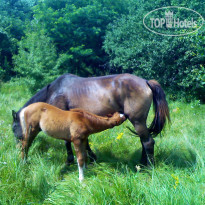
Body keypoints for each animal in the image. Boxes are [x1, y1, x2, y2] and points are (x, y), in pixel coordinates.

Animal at [12, 73, 170, 167]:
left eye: (14, 128)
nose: (18, 148)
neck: (55, 91)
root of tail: (146, 82)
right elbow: (85, 141)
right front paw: (92, 157)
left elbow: (67, 142)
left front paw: (69, 161)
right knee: (144, 141)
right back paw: (141, 164)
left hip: (137, 121)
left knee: (148, 142)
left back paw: (148, 167)